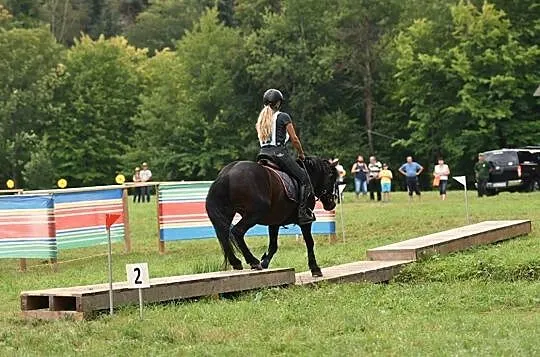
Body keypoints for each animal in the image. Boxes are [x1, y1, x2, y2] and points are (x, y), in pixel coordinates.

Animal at [205, 156, 336, 276]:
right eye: (331, 177)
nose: (332, 204)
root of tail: (226, 174)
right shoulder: (305, 222)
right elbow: (309, 242)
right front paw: (315, 268)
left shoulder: (275, 222)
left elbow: (273, 246)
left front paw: (265, 262)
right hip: (254, 214)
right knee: (237, 231)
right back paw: (253, 261)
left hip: (228, 213)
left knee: (224, 235)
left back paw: (236, 262)